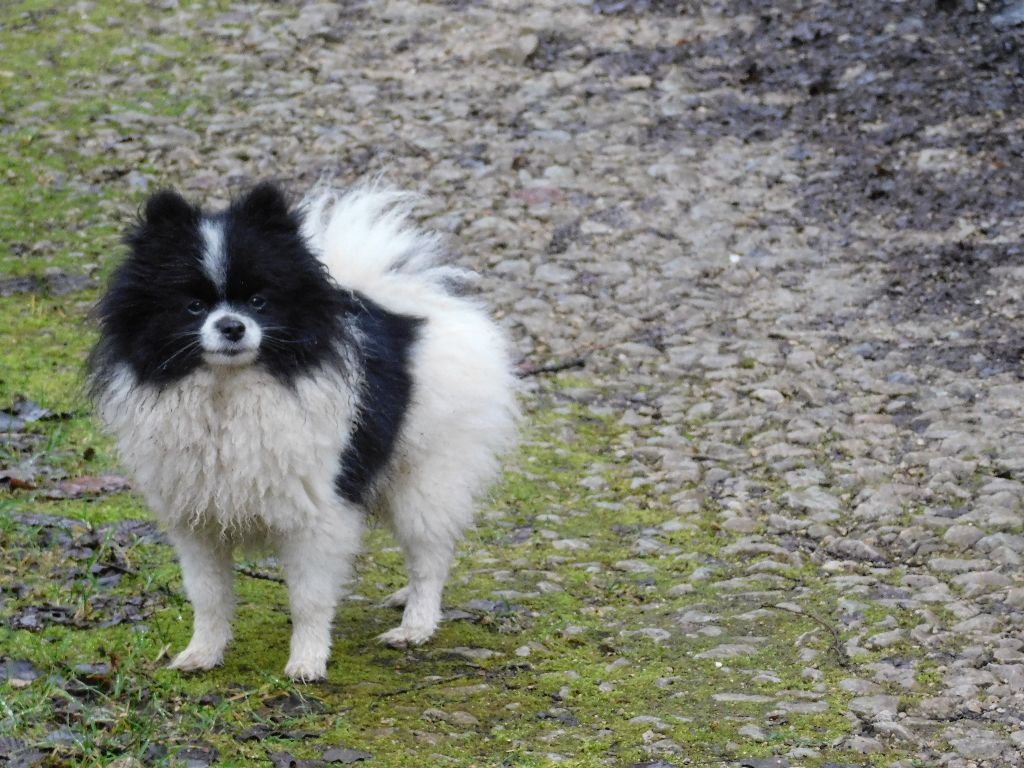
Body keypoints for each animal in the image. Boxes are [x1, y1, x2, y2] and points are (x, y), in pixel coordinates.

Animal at [86, 183, 520, 684]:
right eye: (193, 306)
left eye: (259, 302)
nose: (231, 326)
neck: (227, 391)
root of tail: (414, 308)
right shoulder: (197, 520)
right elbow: (208, 596)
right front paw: (203, 654)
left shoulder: (317, 515)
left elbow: (309, 599)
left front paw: (307, 661)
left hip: (425, 476)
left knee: (430, 555)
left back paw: (416, 625)